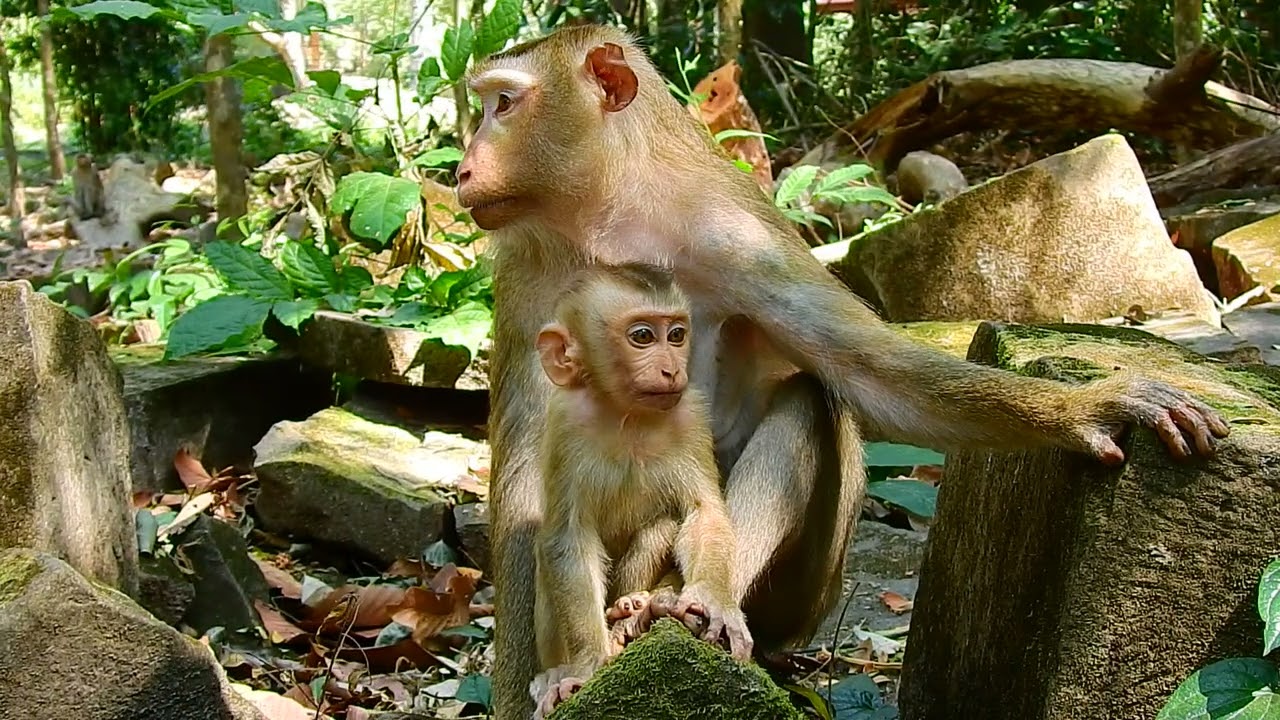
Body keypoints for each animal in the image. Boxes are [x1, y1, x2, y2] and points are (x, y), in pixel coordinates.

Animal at [529, 262, 751, 718]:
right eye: (643, 337)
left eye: (677, 335)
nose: (672, 369)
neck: (626, 415)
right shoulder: (564, 422)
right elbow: (566, 539)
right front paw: (588, 664)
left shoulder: (691, 414)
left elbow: (703, 511)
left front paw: (712, 599)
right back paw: (555, 673)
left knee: (663, 524)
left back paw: (632, 608)